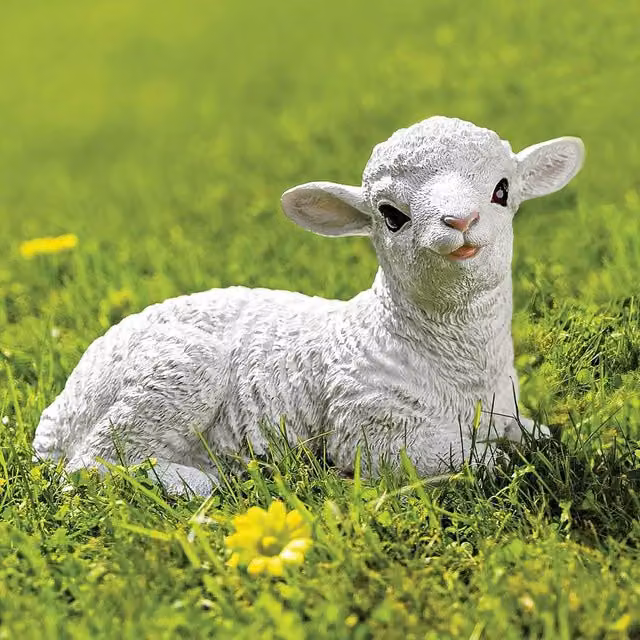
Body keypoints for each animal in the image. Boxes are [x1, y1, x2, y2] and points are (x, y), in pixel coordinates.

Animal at [32, 116, 585, 495]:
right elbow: (484, 462)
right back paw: (194, 484)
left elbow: (540, 437)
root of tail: (54, 420)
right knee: (89, 465)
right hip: (174, 372)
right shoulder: (371, 430)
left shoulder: (503, 412)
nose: (460, 221)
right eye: (391, 215)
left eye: (502, 190)